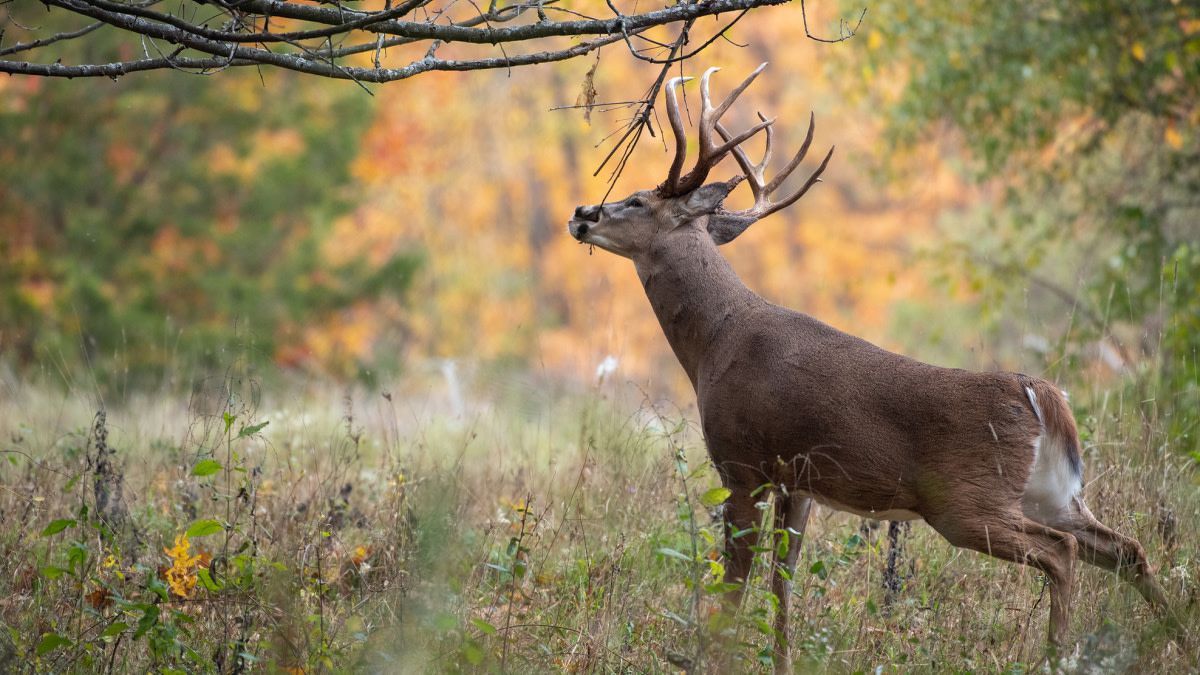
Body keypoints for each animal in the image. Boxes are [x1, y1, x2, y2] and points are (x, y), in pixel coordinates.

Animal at [568, 63, 1171, 667]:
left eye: (638, 200)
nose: (580, 213)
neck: (716, 341)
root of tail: (1041, 394)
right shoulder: (799, 482)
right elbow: (782, 592)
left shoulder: (744, 465)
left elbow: (733, 594)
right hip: (1051, 493)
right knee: (1127, 548)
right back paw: (1173, 634)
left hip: (965, 501)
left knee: (1063, 552)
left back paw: (1058, 656)